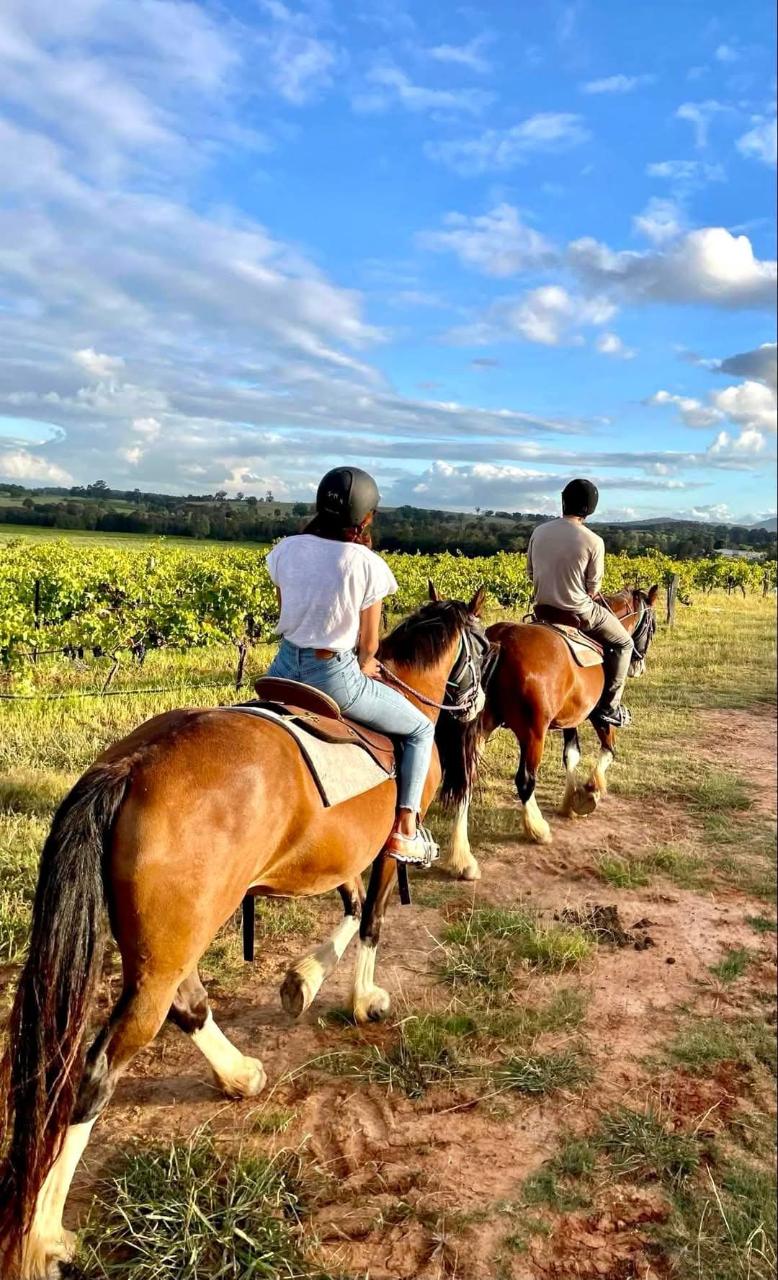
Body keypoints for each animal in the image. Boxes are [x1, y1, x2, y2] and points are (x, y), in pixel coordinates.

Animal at [0, 588, 486, 1280]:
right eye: (485, 646)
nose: (476, 706)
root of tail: (130, 765)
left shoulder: (337, 855)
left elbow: (349, 907)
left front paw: (302, 980)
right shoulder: (385, 849)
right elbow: (371, 919)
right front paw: (363, 1001)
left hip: (166, 946)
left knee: (187, 1004)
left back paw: (239, 1076)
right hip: (165, 955)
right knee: (98, 1069)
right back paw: (45, 1236)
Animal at [440, 586, 660, 880]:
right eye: (653, 626)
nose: (639, 666)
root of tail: (501, 639)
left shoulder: (570, 719)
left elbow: (571, 755)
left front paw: (570, 802)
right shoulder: (596, 714)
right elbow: (608, 750)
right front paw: (590, 791)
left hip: (478, 728)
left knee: (465, 780)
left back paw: (463, 860)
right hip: (533, 733)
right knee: (525, 780)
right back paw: (537, 829)